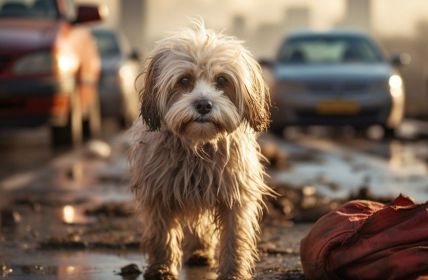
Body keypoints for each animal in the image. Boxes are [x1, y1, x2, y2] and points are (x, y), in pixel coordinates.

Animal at [129, 21, 272, 280]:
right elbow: (162, 235)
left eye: (222, 80)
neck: (198, 145)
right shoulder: (159, 193)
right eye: (184, 80)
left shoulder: (234, 196)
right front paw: (162, 268)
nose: (204, 105)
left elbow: (234, 237)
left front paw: (234, 272)